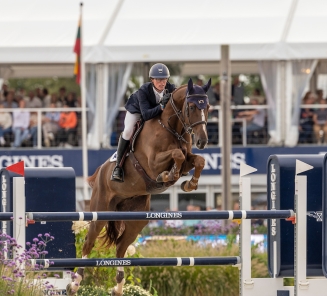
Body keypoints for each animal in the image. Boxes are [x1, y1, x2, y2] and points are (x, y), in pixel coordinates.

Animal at [67, 77, 213, 294]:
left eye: (208, 107)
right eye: (192, 106)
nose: (202, 141)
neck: (171, 127)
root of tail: (99, 173)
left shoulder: (188, 160)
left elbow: (198, 160)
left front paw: (189, 184)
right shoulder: (153, 163)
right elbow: (176, 155)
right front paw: (168, 175)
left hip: (136, 219)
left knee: (120, 246)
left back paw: (118, 287)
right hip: (100, 211)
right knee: (88, 242)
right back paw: (75, 284)